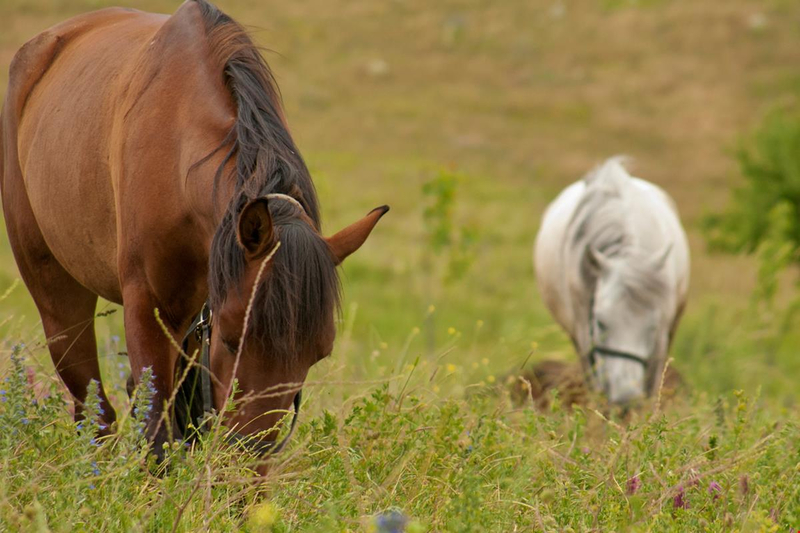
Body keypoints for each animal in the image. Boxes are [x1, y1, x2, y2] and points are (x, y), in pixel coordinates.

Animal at [0, 0, 388, 460]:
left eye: (319, 353)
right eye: (234, 339)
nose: (248, 458)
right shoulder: (148, 308)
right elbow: (156, 430)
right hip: (57, 292)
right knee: (93, 409)